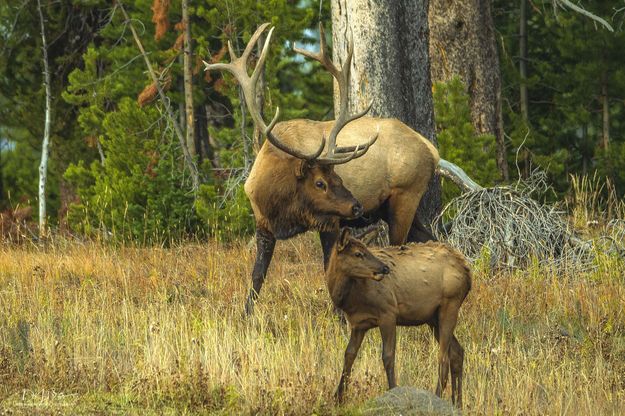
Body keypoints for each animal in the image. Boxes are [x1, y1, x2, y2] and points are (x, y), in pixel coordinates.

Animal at [207, 22, 446, 314]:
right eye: (320, 182)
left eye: (338, 177)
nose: (356, 207)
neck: (279, 203)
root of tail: (431, 150)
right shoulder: (263, 225)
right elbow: (257, 275)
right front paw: (246, 314)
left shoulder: (329, 221)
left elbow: (327, 267)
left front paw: (339, 314)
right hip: (397, 206)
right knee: (432, 239)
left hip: (405, 197)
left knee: (401, 247)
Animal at [326, 228, 468, 406]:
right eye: (358, 253)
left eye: (367, 250)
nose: (384, 268)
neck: (350, 298)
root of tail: (467, 271)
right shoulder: (359, 324)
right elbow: (349, 355)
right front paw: (338, 398)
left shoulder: (388, 313)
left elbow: (388, 356)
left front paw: (393, 390)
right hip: (433, 319)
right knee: (457, 352)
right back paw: (457, 403)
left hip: (450, 305)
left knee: (443, 357)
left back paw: (438, 397)